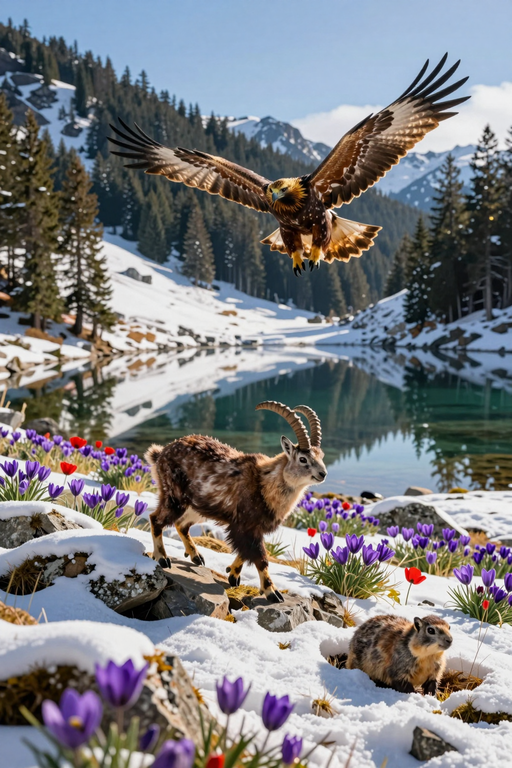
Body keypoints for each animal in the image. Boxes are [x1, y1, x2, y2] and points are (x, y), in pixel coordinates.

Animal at [145, 401, 327, 603]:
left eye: (321, 456)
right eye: (303, 459)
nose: (322, 474)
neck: (264, 484)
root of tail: (160, 454)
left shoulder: (250, 528)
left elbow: (245, 552)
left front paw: (233, 574)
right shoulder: (246, 524)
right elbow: (261, 558)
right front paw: (273, 592)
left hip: (197, 508)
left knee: (181, 525)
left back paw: (196, 556)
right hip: (174, 497)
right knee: (156, 519)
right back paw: (162, 558)